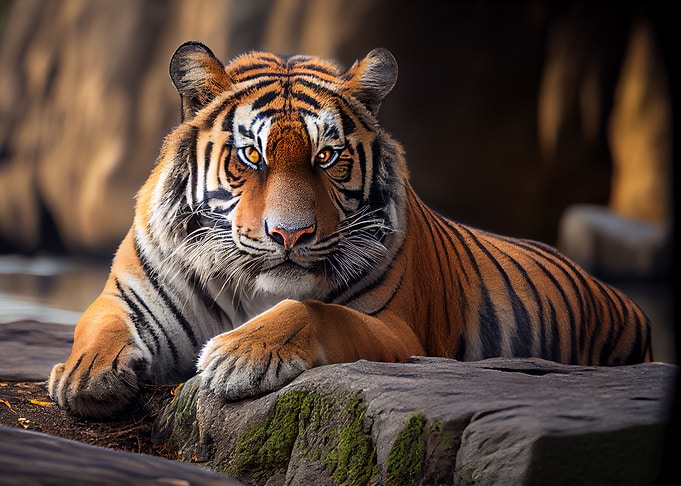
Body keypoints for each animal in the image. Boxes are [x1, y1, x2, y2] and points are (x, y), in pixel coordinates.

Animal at [48, 41, 653, 417]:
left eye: (327, 156)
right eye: (251, 156)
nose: (289, 236)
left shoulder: (397, 331)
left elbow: (311, 310)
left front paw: (237, 355)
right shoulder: (132, 296)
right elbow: (96, 323)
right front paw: (84, 375)